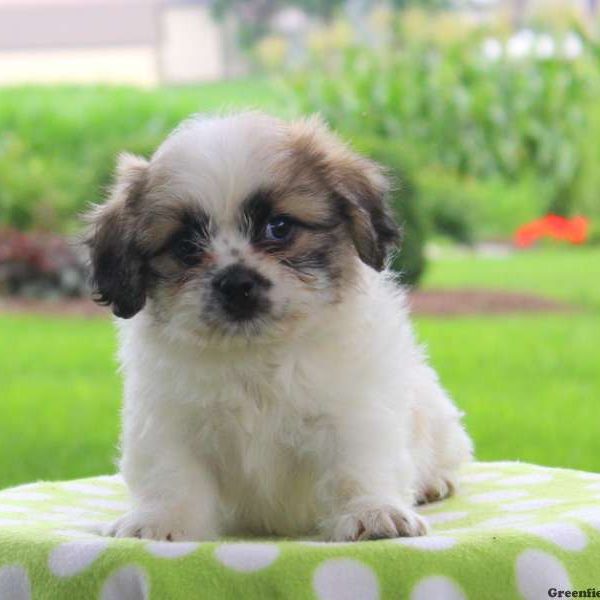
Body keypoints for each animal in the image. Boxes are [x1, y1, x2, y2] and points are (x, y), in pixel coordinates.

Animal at [85, 112, 474, 544]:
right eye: (185, 246)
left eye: (280, 227)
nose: (236, 283)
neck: (258, 352)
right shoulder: (168, 420)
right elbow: (171, 474)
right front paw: (161, 520)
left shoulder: (356, 410)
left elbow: (358, 466)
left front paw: (372, 512)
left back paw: (432, 483)